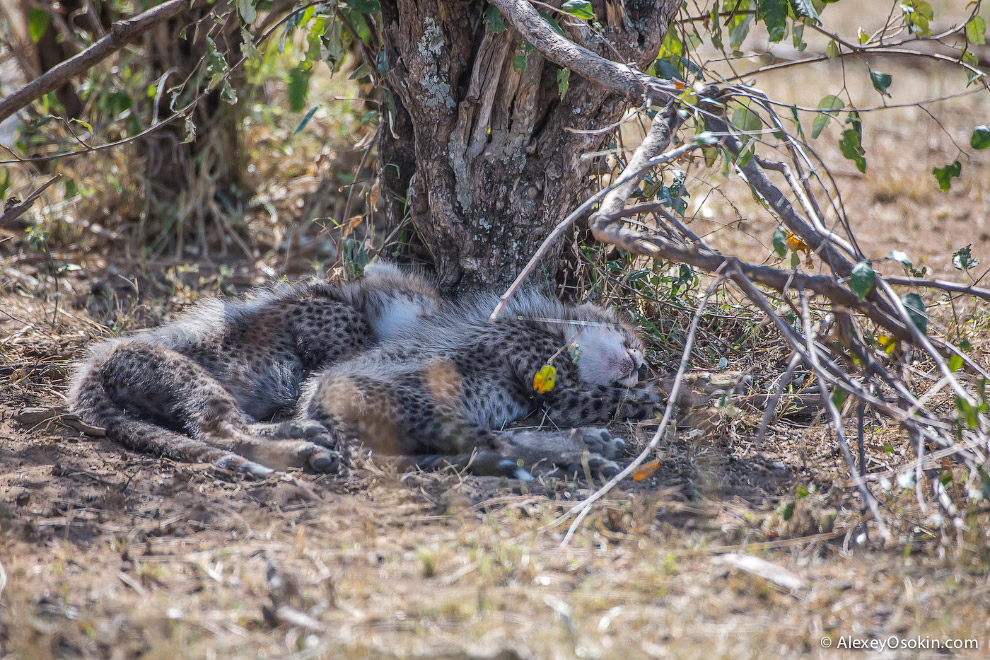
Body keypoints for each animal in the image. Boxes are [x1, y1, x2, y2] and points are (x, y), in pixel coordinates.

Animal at [68, 262, 440, 474]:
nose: (444, 309)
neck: (349, 297)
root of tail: (94, 363)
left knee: (224, 428)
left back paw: (303, 438)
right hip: (190, 376)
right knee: (221, 430)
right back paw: (305, 446)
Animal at [298, 292, 664, 476]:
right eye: (629, 338)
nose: (642, 367)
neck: (558, 332)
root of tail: (318, 395)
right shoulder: (559, 397)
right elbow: (612, 397)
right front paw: (662, 397)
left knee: (490, 443)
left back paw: (590, 443)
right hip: (423, 407)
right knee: (499, 445)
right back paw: (586, 457)